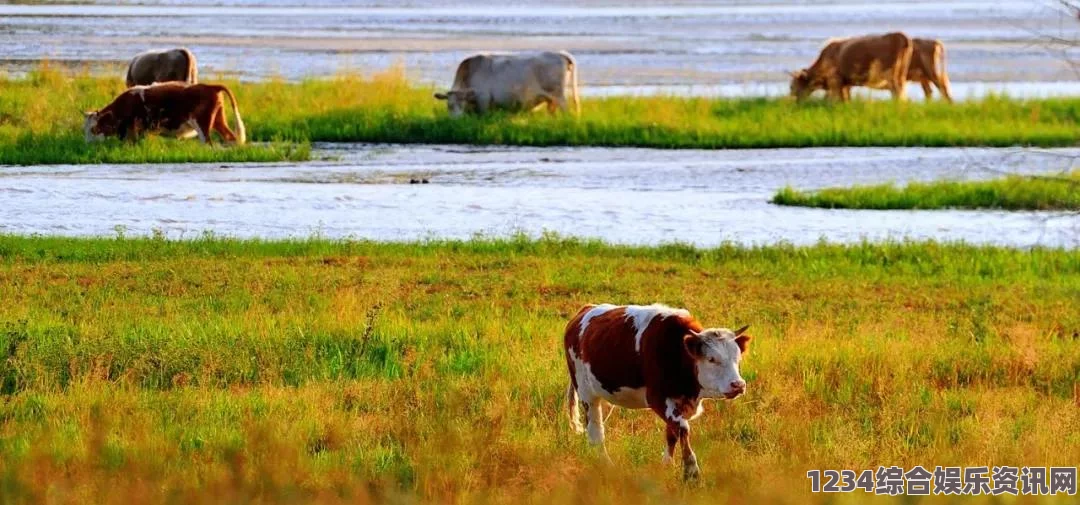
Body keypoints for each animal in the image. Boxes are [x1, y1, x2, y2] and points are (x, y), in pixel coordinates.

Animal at [83, 80, 246, 143]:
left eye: (93, 129)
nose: (87, 144)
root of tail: (209, 86)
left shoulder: (136, 130)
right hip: (219, 120)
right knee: (231, 137)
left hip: (202, 124)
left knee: (208, 142)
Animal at [432, 51, 583, 117]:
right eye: (449, 105)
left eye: (462, 104)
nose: (457, 120)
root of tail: (560, 54)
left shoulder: (483, 99)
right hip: (551, 99)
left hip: (559, 95)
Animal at [565, 304, 751, 481]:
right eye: (712, 359)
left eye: (737, 358)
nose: (738, 385)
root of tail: (585, 310)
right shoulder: (657, 399)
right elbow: (683, 429)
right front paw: (691, 472)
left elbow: (672, 434)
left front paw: (666, 466)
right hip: (587, 393)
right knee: (595, 431)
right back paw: (606, 466)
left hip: (605, 395)